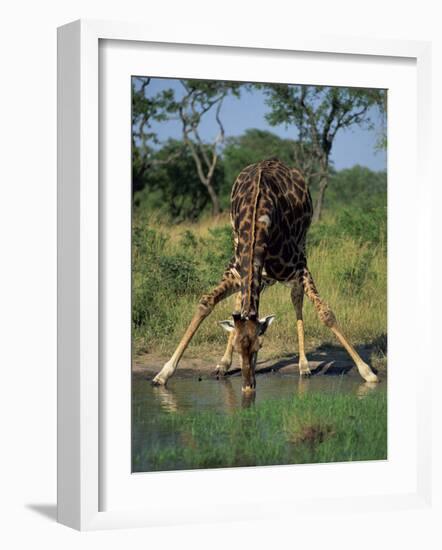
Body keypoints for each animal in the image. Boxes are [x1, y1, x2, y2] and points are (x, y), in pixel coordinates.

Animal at [153, 160, 380, 392]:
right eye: (237, 347)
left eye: (259, 346)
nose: (248, 387)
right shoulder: (236, 271)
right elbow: (206, 302)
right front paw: (163, 374)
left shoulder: (299, 267)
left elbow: (325, 312)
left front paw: (368, 373)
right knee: (241, 301)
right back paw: (223, 364)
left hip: (302, 245)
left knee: (296, 298)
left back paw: (304, 365)